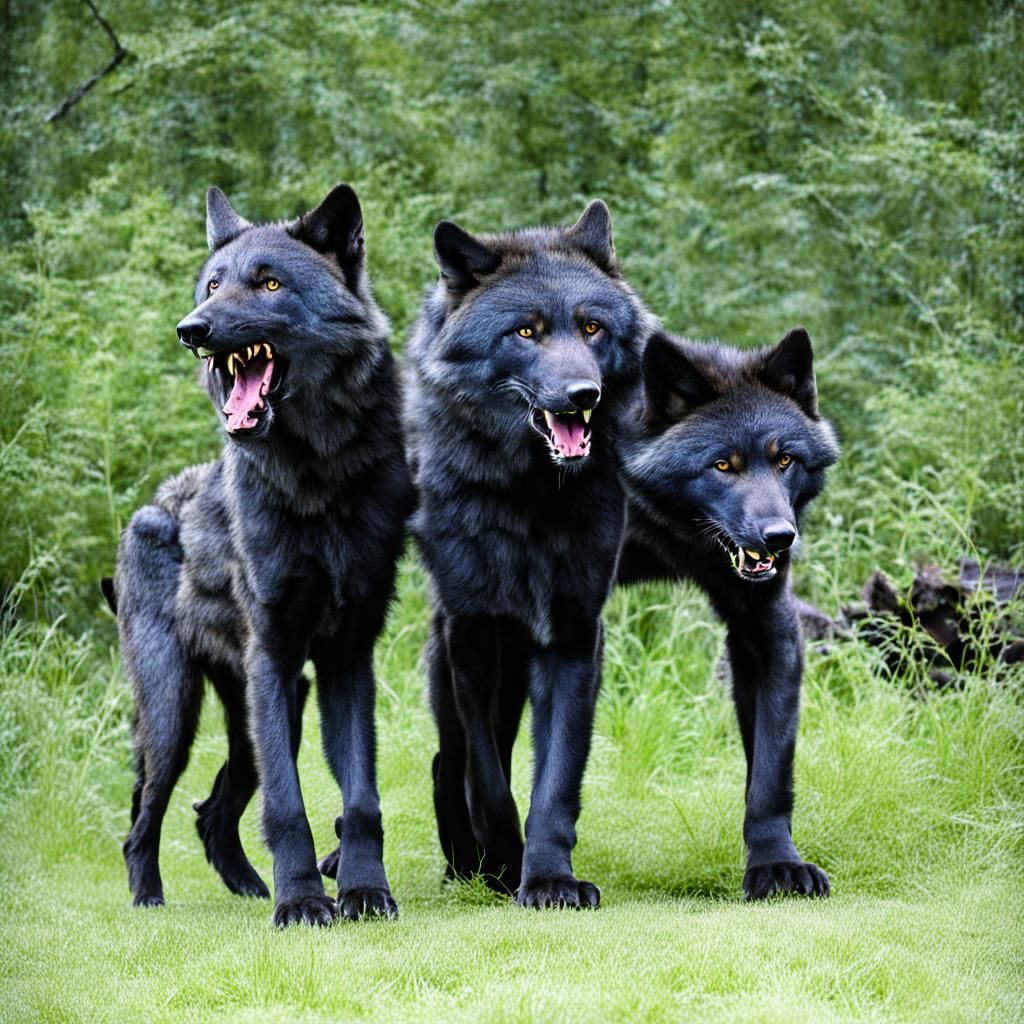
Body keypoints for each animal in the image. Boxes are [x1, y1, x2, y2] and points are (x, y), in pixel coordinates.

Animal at [106, 184, 413, 926]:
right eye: (214, 285)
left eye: (270, 284)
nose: (191, 329)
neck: (317, 479)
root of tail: (150, 509)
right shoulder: (273, 655)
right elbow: (288, 806)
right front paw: (301, 901)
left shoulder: (345, 661)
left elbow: (360, 799)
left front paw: (362, 891)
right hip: (175, 715)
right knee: (143, 821)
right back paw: (151, 901)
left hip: (264, 709)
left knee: (211, 812)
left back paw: (248, 887)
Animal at [405, 200, 656, 908]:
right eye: (526, 332)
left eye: (593, 328)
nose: (583, 394)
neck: (529, 503)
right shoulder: (471, 637)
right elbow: (488, 780)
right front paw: (502, 860)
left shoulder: (572, 639)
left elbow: (556, 781)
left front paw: (546, 878)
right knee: (450, 759)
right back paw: (467, 865)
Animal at [617, 327, 840, 899]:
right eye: (723, 465)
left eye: (784, 460)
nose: (779, 537)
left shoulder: (768, 628)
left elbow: (770, 773)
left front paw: (776, 865)